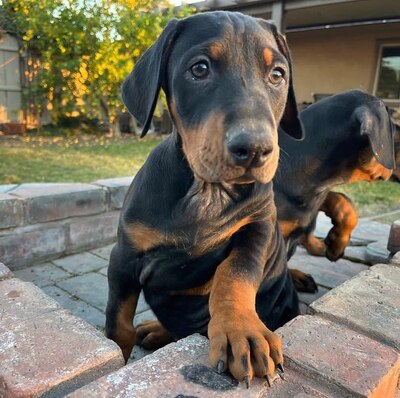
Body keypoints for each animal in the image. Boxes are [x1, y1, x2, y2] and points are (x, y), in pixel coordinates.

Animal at [104, 11, 304, 386]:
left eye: (277, 75)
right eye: (199, 69)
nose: (255, 149)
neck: (207, 191)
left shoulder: (258, 227)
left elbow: (235, 274)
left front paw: (242, 331)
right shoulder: (124, 254)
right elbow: (118, 322)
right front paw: (116, 358)